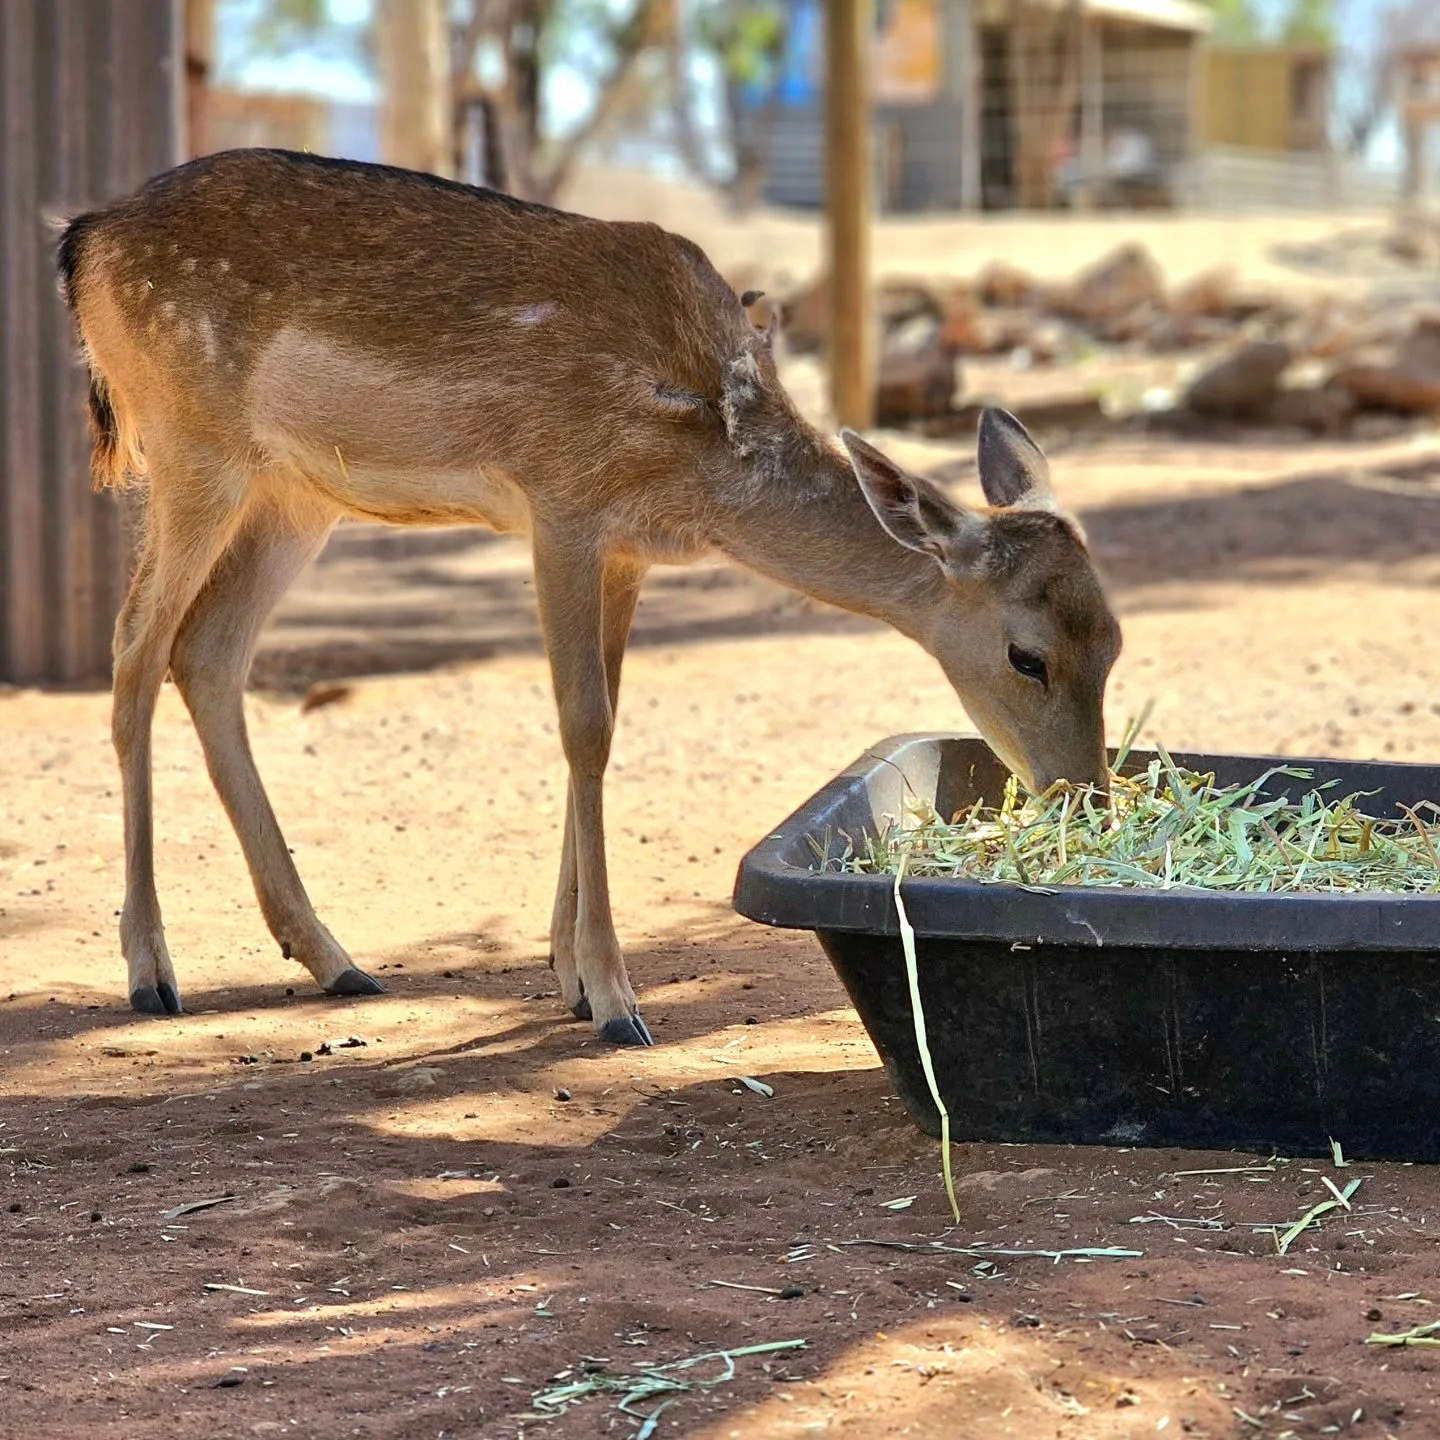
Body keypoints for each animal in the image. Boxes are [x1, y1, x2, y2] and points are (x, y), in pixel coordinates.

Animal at [57, 148, 1122, 1047]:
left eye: (1114, 641)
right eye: (1027, 654)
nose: (1088, 801)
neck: (704, 459)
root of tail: (85, 238)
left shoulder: (627, 553)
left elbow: (606, 717)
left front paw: (570, 977)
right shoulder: (560, 506)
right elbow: (583, 726)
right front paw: (615, 1002)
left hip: (298, 491)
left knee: (209, 650)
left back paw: (335, 959)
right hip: (192, 447)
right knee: (134, 649)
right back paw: (152, 972)